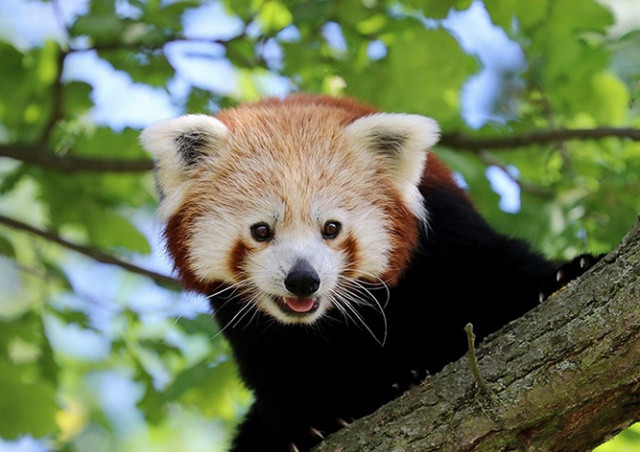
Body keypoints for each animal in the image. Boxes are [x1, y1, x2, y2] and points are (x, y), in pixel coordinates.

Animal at [139, 95, 600, 452]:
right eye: (261, 231)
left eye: (331, 228)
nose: (303, 280)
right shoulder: (249, 324)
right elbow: (276, 369)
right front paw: (308, 425)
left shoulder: (444, 230)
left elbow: (492, 268)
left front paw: (563, 275)